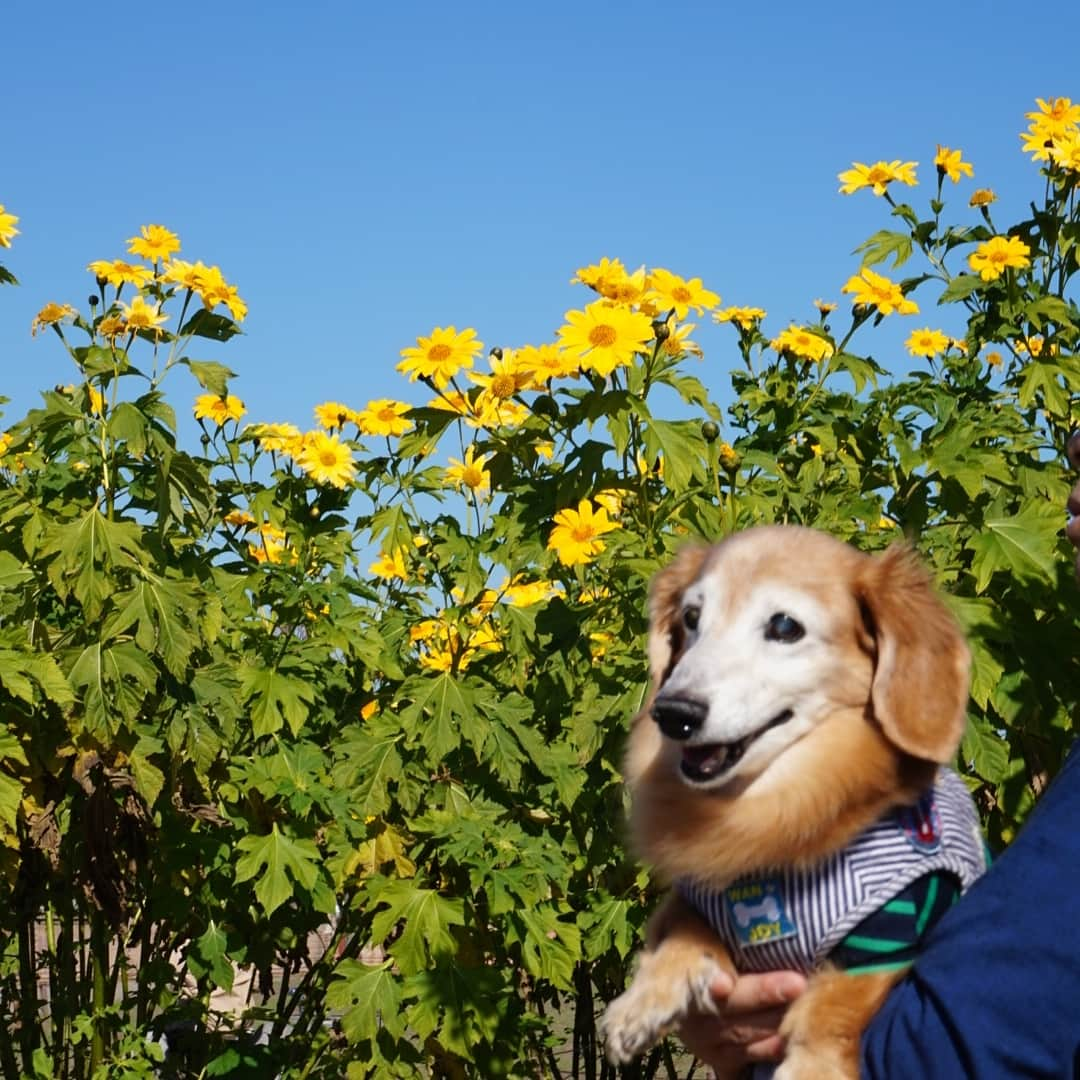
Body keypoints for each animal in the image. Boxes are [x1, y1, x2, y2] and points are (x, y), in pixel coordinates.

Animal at [600, 520, 989, 1071]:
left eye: (784, 627)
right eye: (691, 618)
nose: (672, 713)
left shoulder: (892, 930)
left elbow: (834, 1005)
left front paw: (812, 1065)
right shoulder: (696, 897)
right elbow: (682, 932)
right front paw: (641, 1004)